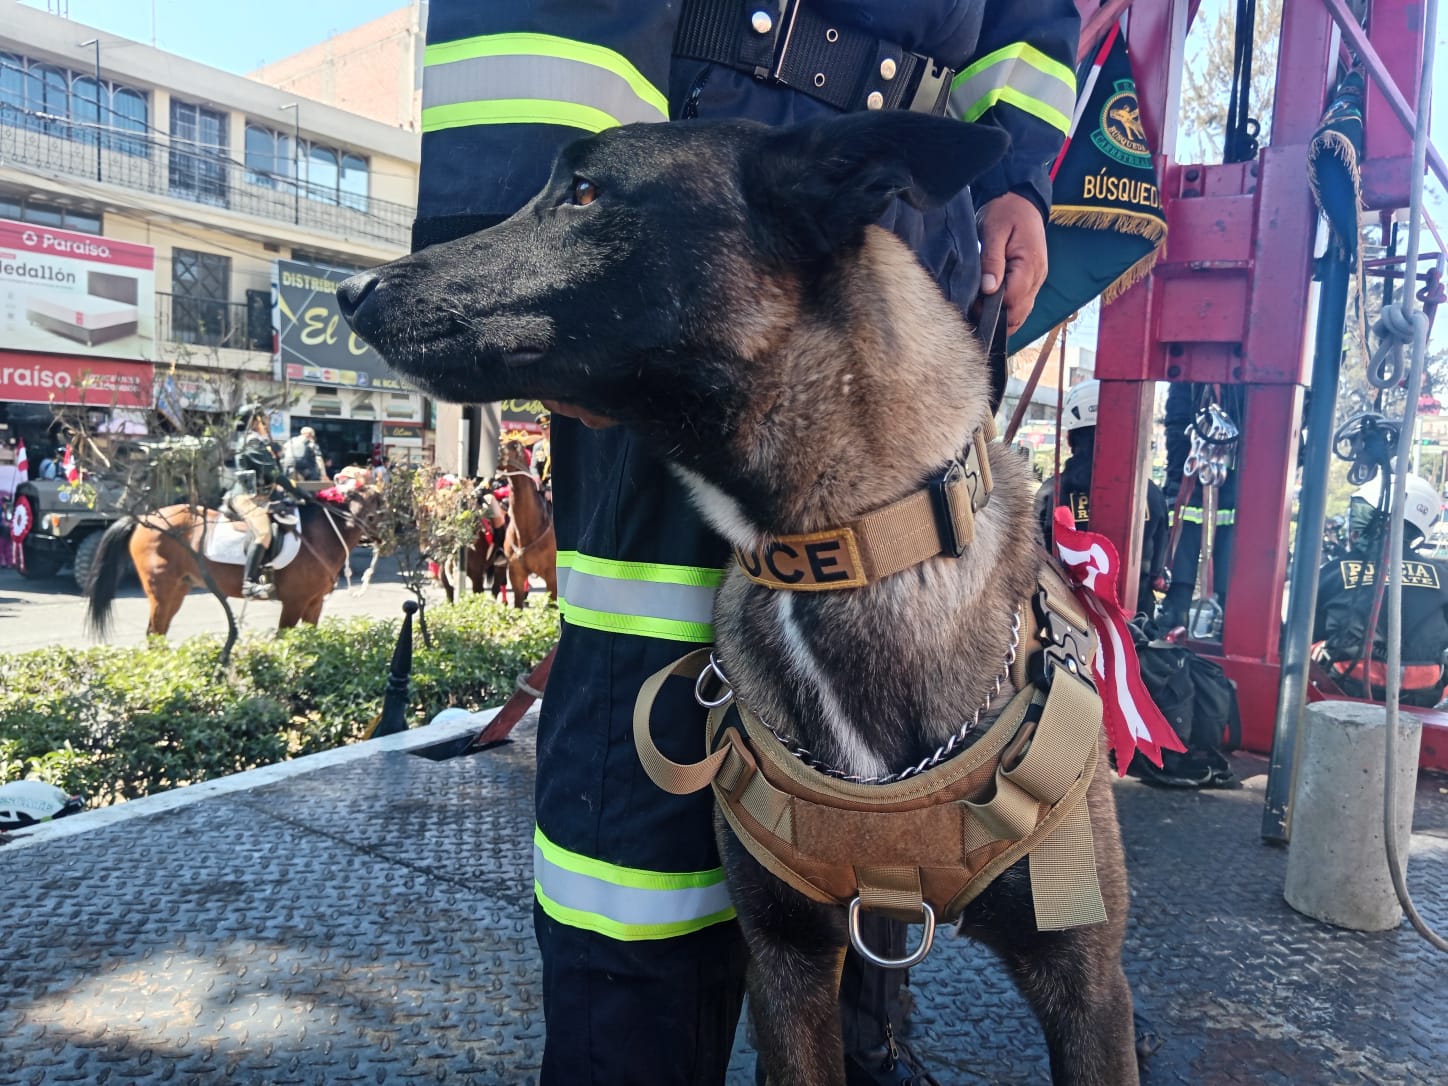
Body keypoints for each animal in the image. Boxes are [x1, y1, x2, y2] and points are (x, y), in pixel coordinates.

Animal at [82, 486, 382, 637]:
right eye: (383, 504)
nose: (388, 539)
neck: (320, 532)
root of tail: (144, 518)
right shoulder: (294, 602)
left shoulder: (314, 603)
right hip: (162, 591)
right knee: (155, 633)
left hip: (177, 590)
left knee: (158, 632)